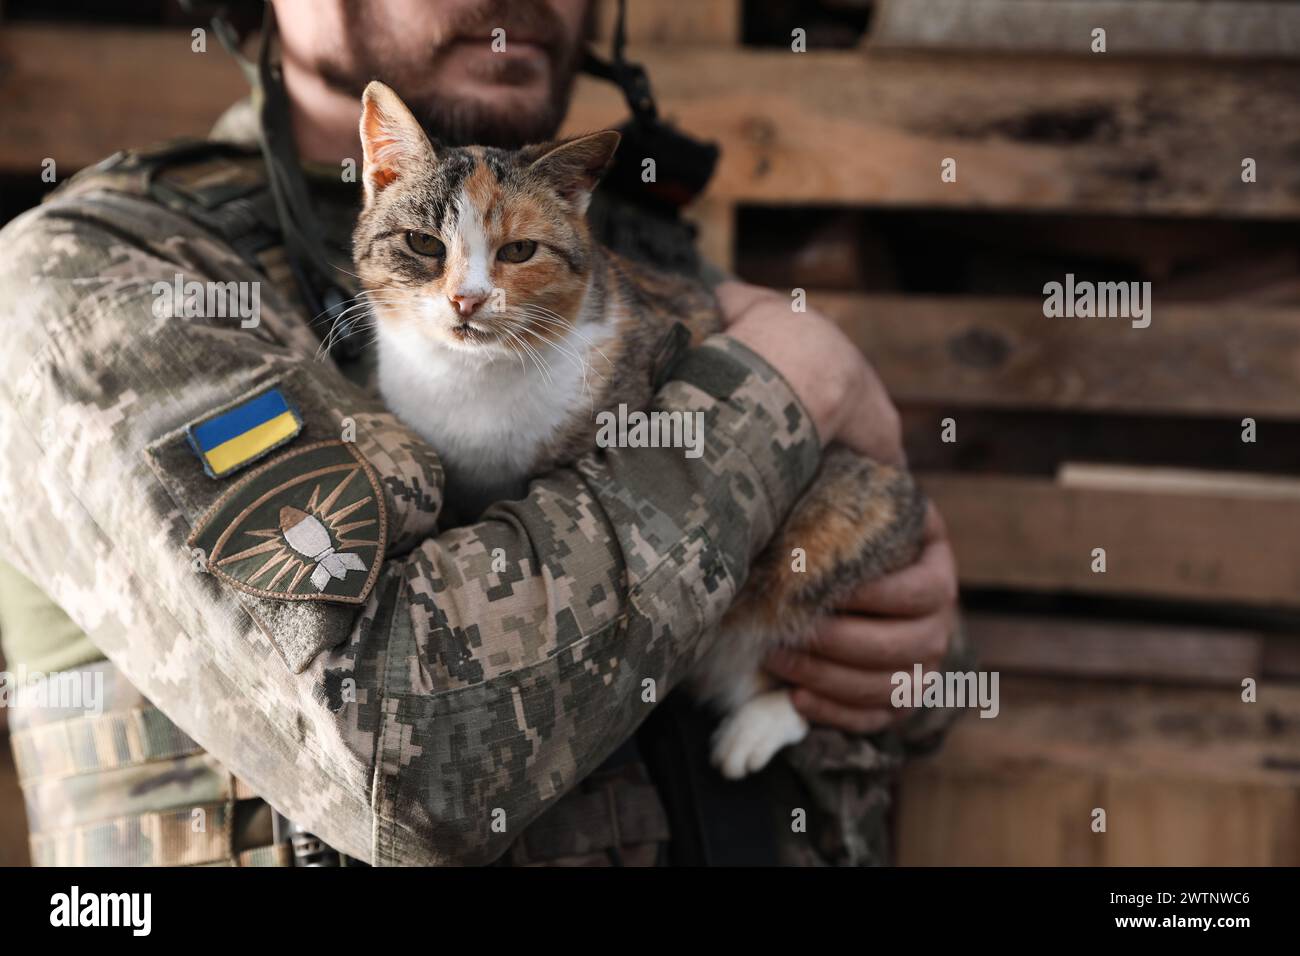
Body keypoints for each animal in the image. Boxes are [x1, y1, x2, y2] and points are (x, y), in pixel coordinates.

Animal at [356, 83, 925, 780]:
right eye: (423, 244)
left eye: (518, 251)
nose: (468, 300)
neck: (472, 378)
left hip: (841, 522)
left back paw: (758, 724)